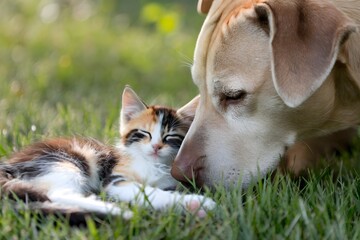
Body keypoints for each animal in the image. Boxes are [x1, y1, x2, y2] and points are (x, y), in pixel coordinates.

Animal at [0, 86, 214, 219]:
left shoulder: (170, 182)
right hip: (66, 160)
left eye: (169, 137)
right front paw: (196, 202)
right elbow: (147, 191)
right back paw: (117, 211)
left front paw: (191, 206)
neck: (151, 165)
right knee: (56, 193)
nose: (156, 147)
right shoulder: (115, 179)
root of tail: (8, 165)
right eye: (145, 133)